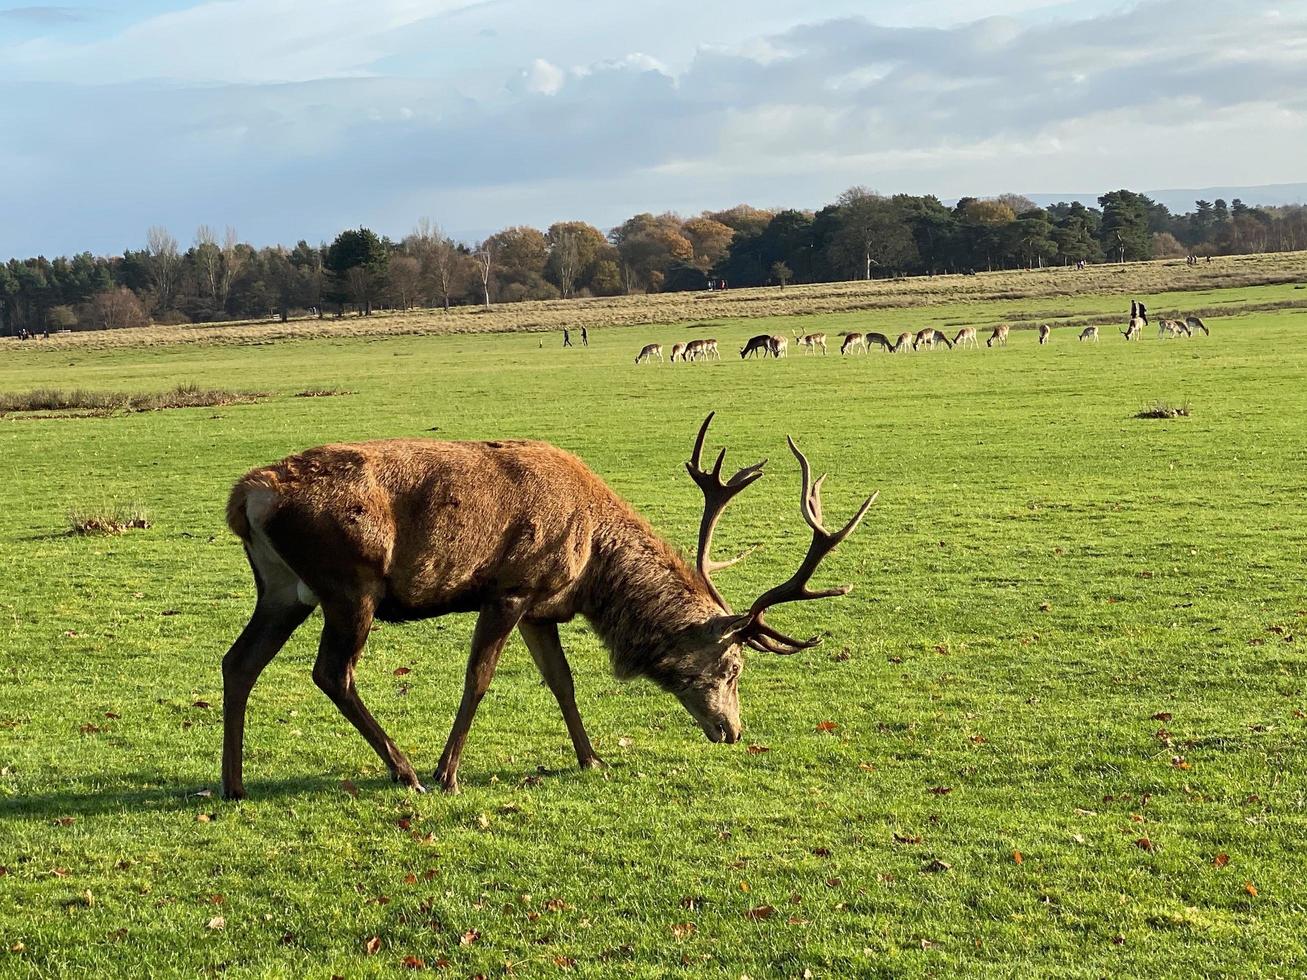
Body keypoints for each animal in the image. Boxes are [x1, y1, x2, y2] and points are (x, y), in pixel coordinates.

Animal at [222, 415, 878, 799]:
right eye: (733, 668)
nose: (732, 732)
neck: (591, 567)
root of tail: (247, 496)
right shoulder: (511, 588)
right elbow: (479, 678)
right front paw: (447, 773)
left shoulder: (541, 607)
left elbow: (562, 681)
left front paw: (592, 759)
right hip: (348, 585)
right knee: (331, 672)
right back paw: (404, 771)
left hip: (280, 589)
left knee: (239, 661)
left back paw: (233, 782)